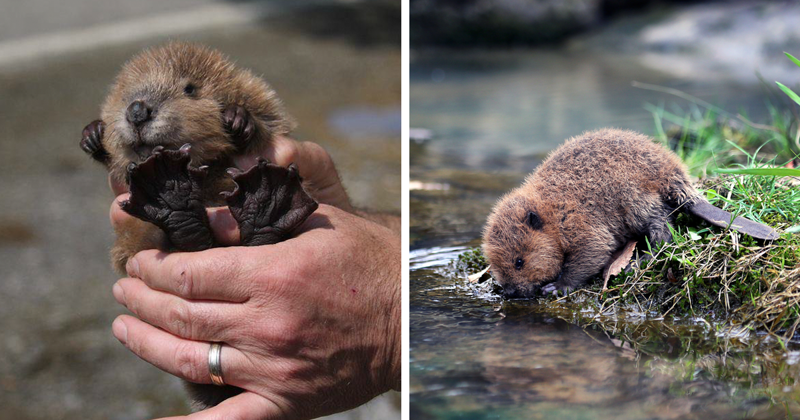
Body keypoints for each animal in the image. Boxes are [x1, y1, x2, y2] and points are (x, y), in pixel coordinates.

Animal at [80, 41, 316, 410]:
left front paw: (237, 119)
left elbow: (270, 117)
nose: (137, 111)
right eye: (124, 93)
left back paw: (265, 199)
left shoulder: (259, 95)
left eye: (190, 88)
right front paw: (94, 134)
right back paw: (173, 194)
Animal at [482, 128, 780, 298]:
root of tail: (680, 181)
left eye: (519, 261)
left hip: (636, 200)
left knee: (663, 231)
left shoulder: (579, 221)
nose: (510, 293)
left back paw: (639, 261)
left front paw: (556, 287)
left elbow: (593, 251)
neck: (552, 209)